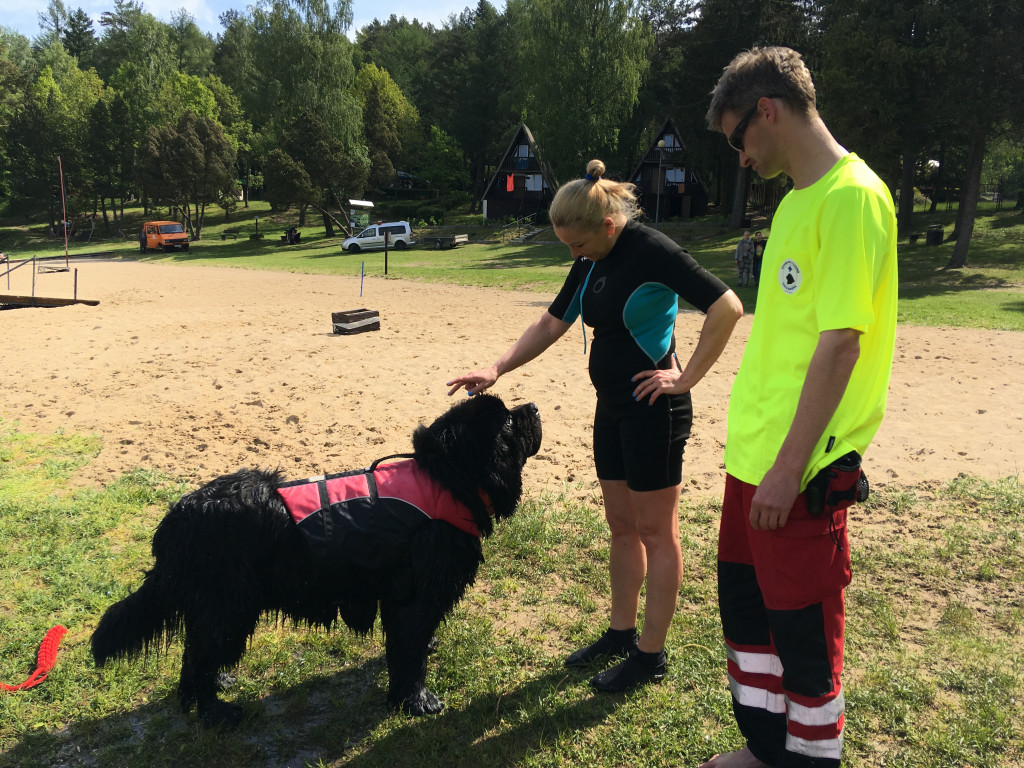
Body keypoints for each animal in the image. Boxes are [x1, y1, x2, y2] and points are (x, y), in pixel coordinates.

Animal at [93, 397, 544, 729]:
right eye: (509, 421)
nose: (536, 406)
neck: (448, 479)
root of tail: (178, 516)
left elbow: (413, 640)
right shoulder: (415, 591)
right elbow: (410, 649)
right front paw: (417, 701)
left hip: (217, 603)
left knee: (196, 650)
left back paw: (216, 686)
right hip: (230, 603)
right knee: (202, 653)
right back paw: (217, 712)